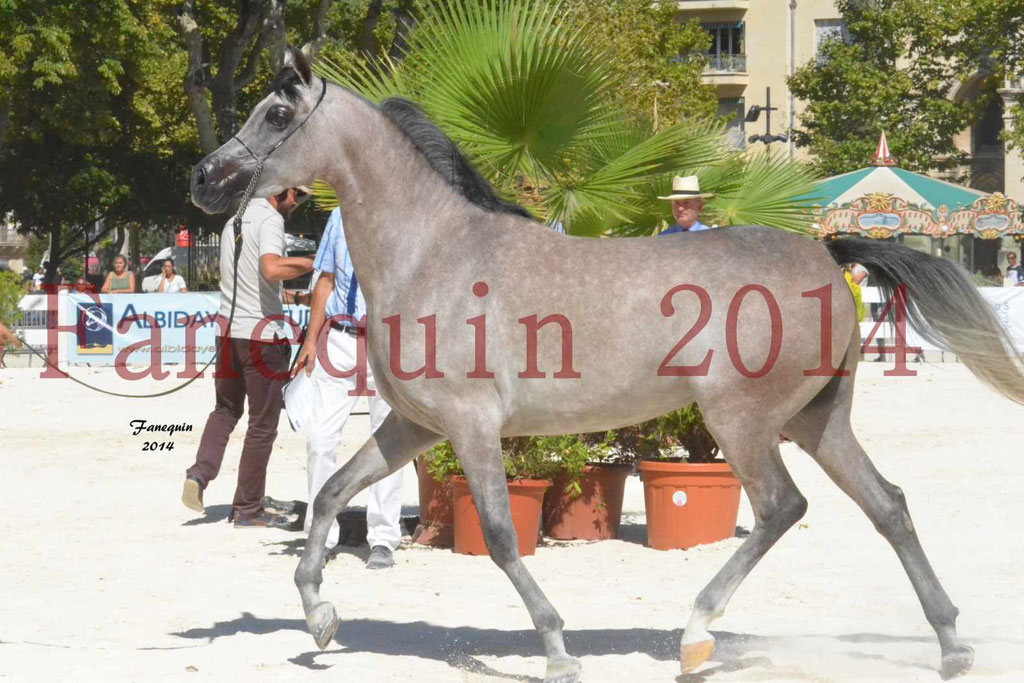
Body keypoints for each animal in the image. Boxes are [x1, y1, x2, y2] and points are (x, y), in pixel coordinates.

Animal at [188, 46, 1019, 679]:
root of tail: (826, 250)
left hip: (743, 422)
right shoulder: (414, 426)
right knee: (889, 505)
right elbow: (331, 494)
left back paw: (696, 636)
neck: (433, 252)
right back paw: (951, 645)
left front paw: (558, 650)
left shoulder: (470, 425)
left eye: (278, 115)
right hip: (819, 420)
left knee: (783, 507)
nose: (204, 178)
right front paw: (320, 616)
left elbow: (499, 535)